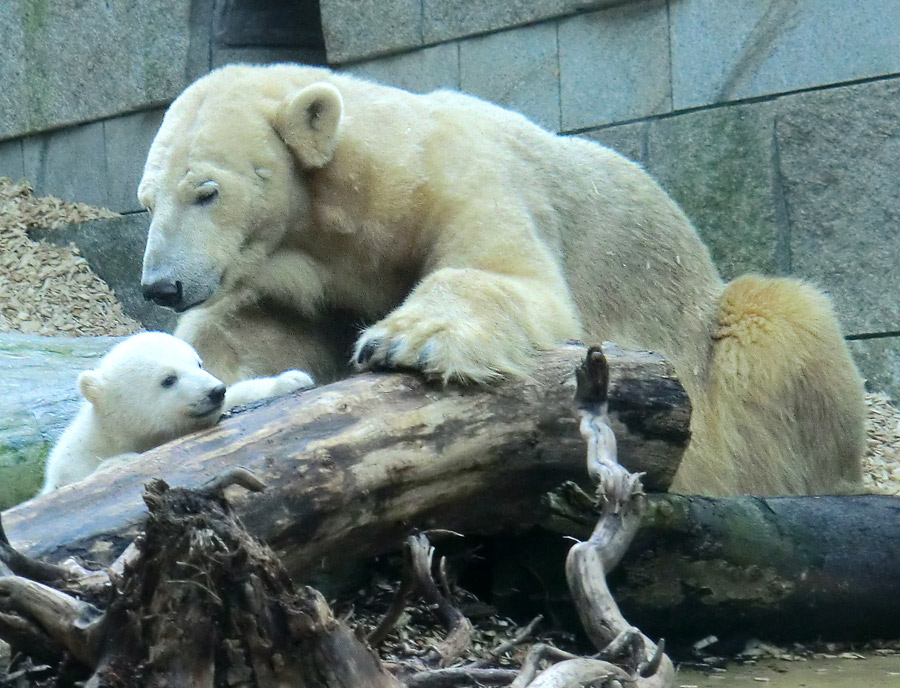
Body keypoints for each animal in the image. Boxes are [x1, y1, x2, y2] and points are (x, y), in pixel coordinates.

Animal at [139, 63, 864, 494]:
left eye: (206, 192)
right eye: (147, 200)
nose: (159, 287)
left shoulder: (467, 178)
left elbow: (510, 274)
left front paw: (410, 340)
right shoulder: (314, 282)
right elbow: (251, 327)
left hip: (715, 340)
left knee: (780, 324)